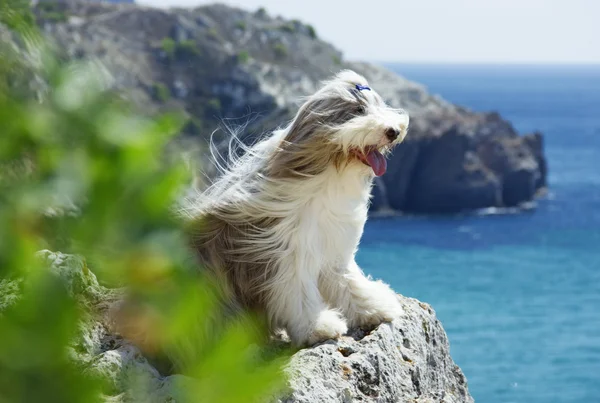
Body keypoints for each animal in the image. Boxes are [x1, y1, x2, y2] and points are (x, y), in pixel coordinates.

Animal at [185, 70, 410, 348]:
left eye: (380, 105)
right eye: (359, 110)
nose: (394, 131)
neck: (330, 174)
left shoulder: (334, 248)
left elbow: (348, 281)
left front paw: (375, 307)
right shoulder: (288, 254)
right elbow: (299, 295)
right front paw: (318, 328)